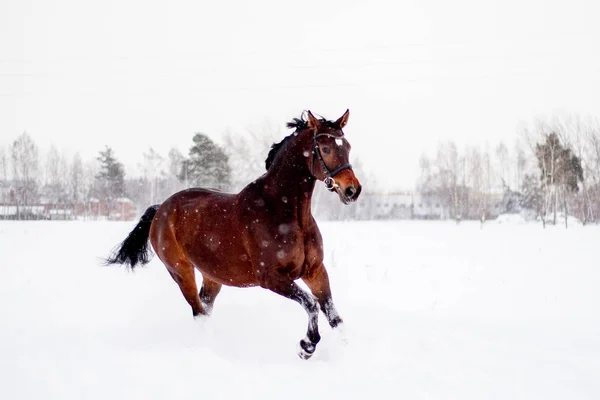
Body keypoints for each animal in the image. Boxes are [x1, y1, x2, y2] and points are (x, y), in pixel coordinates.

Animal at [105, 110, 360, 360]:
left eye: (347, 146)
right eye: (325, 148)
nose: (352, 190)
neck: (285, 214)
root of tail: (161, 208)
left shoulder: (315, 271)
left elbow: (335, 317)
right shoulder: (271, 277)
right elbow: (311, 304)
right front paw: (306, 346)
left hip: (212, 276)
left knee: (205, 308)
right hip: (180, 271)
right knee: (199, 312)